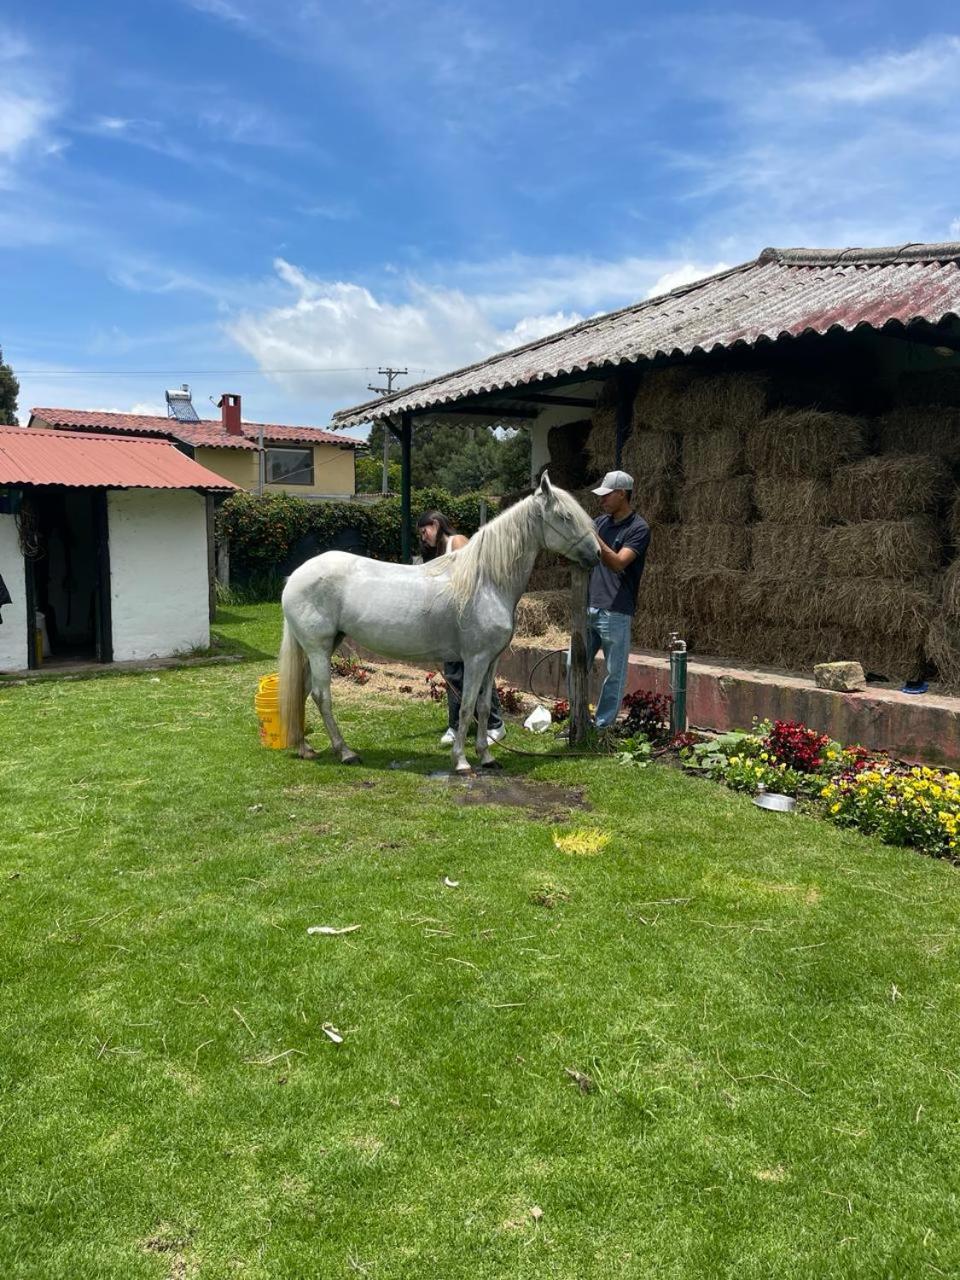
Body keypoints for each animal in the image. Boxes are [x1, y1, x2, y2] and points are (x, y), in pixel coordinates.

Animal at [277, 473, 600, 773]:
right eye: (565, 516)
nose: (596, 554)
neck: (486, 582)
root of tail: (296, 576)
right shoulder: (476, 659)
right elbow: (467, 707)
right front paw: (461, 762)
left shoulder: (491, 661)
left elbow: (484, 707)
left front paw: (487, 757)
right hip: (318, 648)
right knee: (321, 695)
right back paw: (345, 752)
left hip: (327, 645)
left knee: (303, 690)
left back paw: (306, 748)